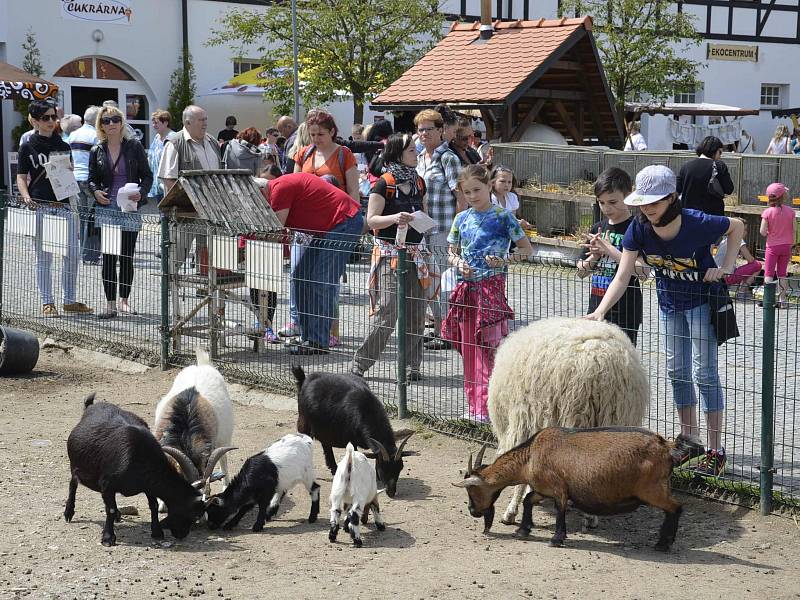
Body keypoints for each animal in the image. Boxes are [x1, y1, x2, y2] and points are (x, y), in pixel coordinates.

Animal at [65, 396, 234, 548]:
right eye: (192, 514)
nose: (181, 534)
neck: (139, 457)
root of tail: (90, 407)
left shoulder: (148, 486)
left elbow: (153, 505)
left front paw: (157, 532)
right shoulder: (107, 484)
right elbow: (110, 509)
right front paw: (108, 538)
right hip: (76, 466)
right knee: (73, 482)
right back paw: (68, 513)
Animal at [294, 366, 418, 496]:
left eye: (400, 468)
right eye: (383, 468)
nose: (391, 492)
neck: (365, 410)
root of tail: (304, 379)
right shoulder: (351, 440)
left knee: (326, 444)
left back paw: (334, 468)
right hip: (304, 422)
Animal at [456, 428, 700, 552]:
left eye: (472, 491)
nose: (472, 511)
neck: (530, 456)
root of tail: (668, 447)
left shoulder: (559, 488)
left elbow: (560, 511)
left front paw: (556, 538)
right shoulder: (543, 488)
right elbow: (528, 500)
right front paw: (523, 530)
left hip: (652, 490)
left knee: (675, 508)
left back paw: (663, 544)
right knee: (672, 510)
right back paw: (663, 542)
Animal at [488, 316, 648, 528]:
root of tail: (601, 362)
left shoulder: (523, 422)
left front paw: (511, 511)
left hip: (572, 416)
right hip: (614, 419)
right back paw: (591, 516)